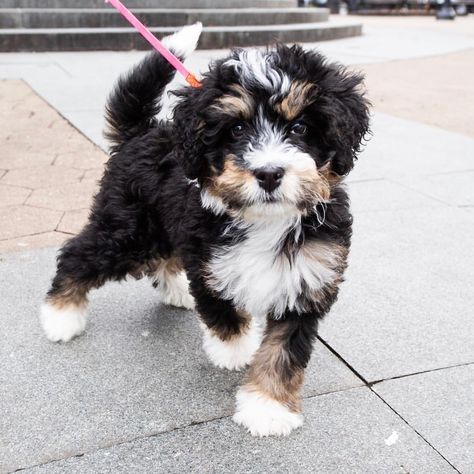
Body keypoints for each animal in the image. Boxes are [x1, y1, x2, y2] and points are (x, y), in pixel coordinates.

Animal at [39, 22, 370, 436]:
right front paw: (234, 351)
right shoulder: (208, 258)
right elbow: (222, 309)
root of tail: (142, 133)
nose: (268, 173)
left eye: (300, 127)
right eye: (237, 129)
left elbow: (283, 350)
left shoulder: (308, 275)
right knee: (79, 254)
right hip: (130, 231)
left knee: (162, 256)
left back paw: (174, 291)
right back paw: (60, 316)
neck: (265, 220)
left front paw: (268, 407)